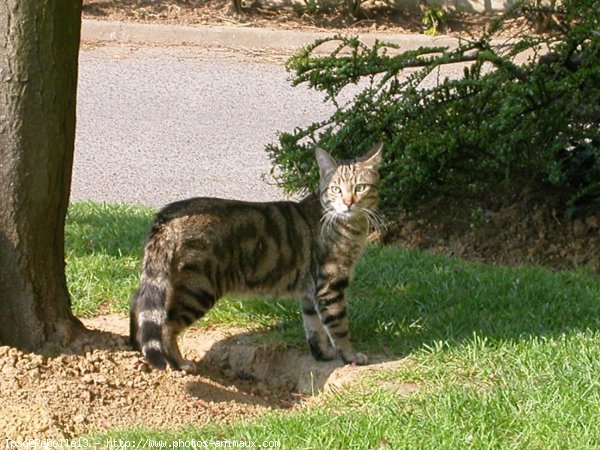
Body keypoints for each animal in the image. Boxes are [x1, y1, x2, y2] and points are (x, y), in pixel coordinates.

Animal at [131, 144, 384, 372]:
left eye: (360, 187)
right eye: (336, 189)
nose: (349, 203)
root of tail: (167, 214)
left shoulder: (309, 291)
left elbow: (314, 327)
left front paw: (323, 354)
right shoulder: (331, 285)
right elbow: (339, 327)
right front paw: (350, 356)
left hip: (165, 282)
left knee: (139, 305)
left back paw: (137, 347)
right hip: (197, 289)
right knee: (166, 325)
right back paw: (179, 363)